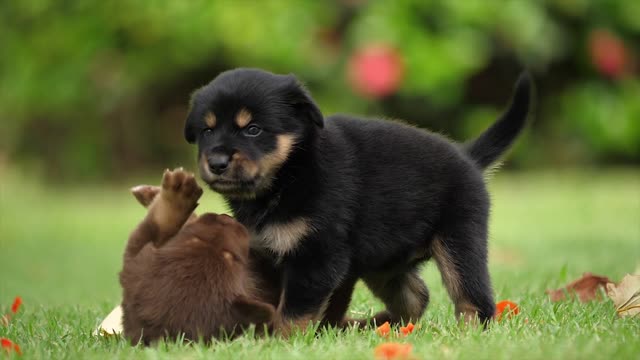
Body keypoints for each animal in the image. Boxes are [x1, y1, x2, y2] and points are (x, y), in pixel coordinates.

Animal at [184, 67, 528, 326]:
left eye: (253, 129)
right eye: (207, 131)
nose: (217, 163)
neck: (291, 172)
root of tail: (467, 156)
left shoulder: (317, 256)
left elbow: (294, 312)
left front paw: (279, 340)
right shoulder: (265, 254)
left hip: (459, 241)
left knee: (474, 300)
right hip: (383, 261)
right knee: (416, 295)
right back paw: (377, 324)